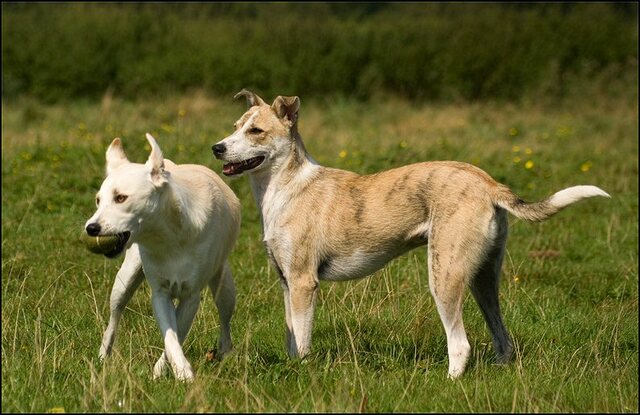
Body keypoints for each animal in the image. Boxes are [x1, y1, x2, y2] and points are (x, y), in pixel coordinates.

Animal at [86, 135, 241, 382]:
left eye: (121, 198)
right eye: (98, 201)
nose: (91, 228)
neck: (169, 235)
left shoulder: (190, 296)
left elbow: (177, 333)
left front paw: (169, 372)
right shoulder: (159, 293)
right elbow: (171, 335)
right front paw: (179, 371)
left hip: (225, 286)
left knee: (225, 317)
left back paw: (225, 351)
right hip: (125, 279)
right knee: (115, 314)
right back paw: (103, 355)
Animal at [211, 89, 608, 378]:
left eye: (255, 131)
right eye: (235, 126)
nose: (217, 147)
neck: (286, 187)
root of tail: (489, 184)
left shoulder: (304, 282)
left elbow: (303, 342)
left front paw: (303, 375)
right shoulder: (286, 282)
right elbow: (291, 336)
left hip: (444, 274)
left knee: (460, 343)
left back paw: (449, 382)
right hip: (483, 279)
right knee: (502, 338)